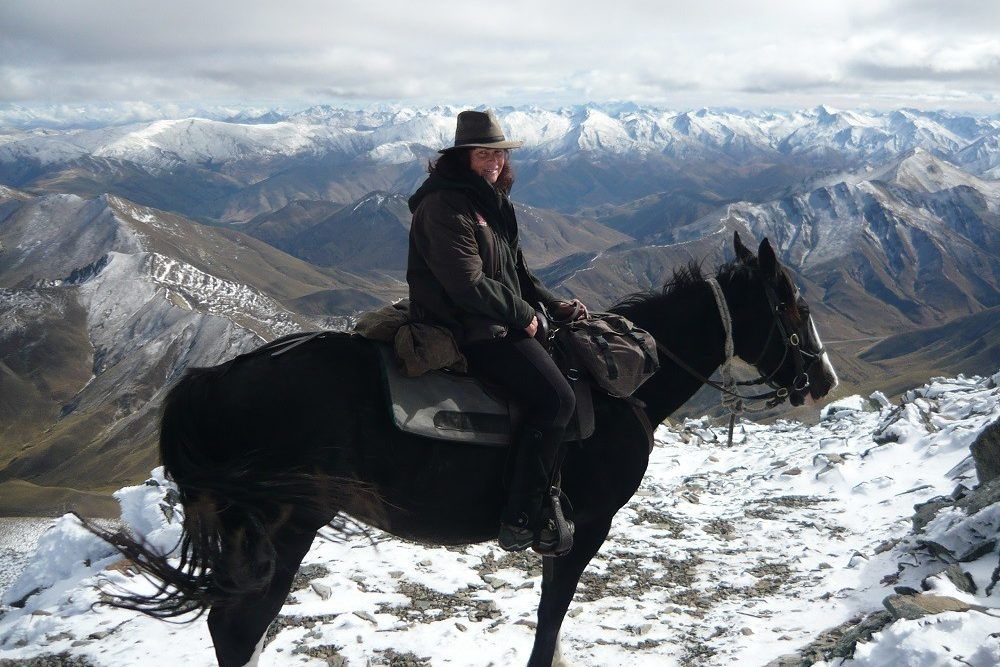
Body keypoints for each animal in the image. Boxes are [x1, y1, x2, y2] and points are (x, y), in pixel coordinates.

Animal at [94, 232, 836, 664]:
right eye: (792, 307)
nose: (823, 379)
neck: (622, 383)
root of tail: (211, 379)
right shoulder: (585, 526)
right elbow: (550, 619)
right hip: (282, 526)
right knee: (236, 627)